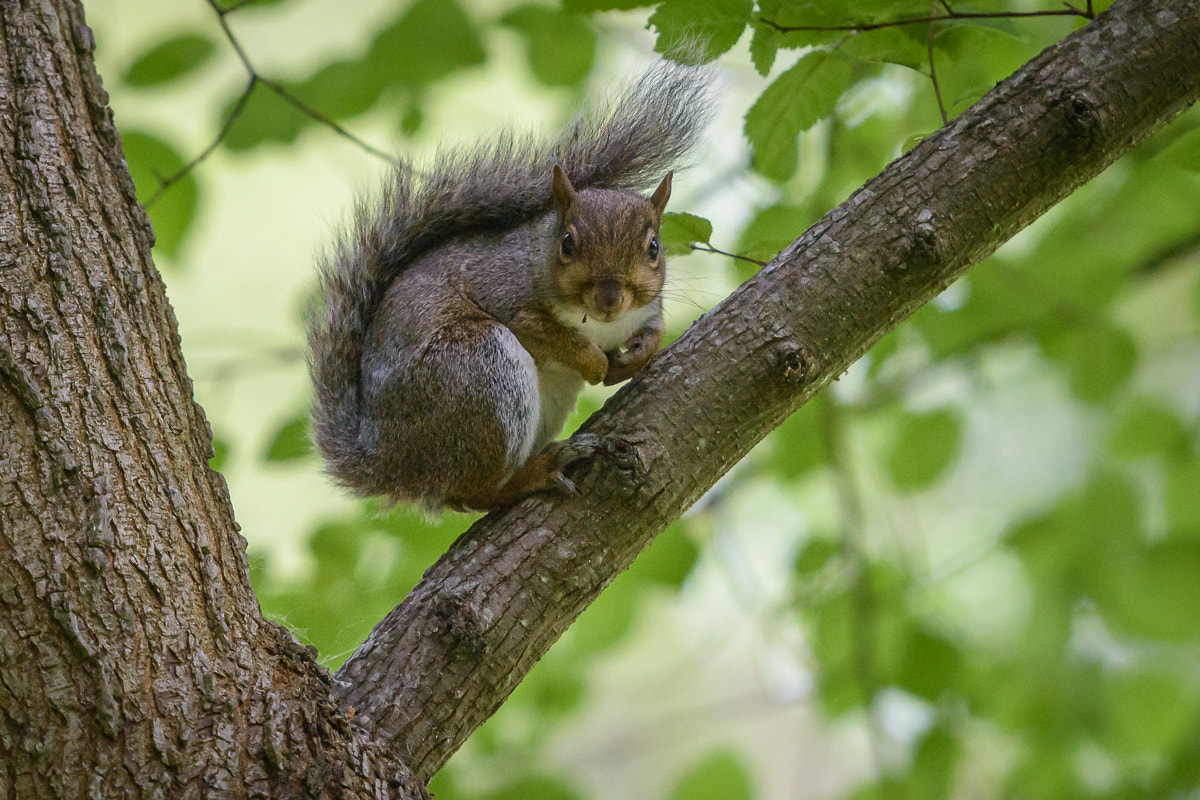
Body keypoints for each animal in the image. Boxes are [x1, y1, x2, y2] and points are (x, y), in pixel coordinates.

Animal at [306, 59, 711, 512]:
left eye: (654, 247)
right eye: (567, 243)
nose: (609, 298)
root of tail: (389, 461)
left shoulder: (645, 307)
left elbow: (653, 327)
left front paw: (640, 353)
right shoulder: (504, 291)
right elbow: (544, 331)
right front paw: (593, 361)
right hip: (475, 368)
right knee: (475, 492)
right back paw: (536, 472)